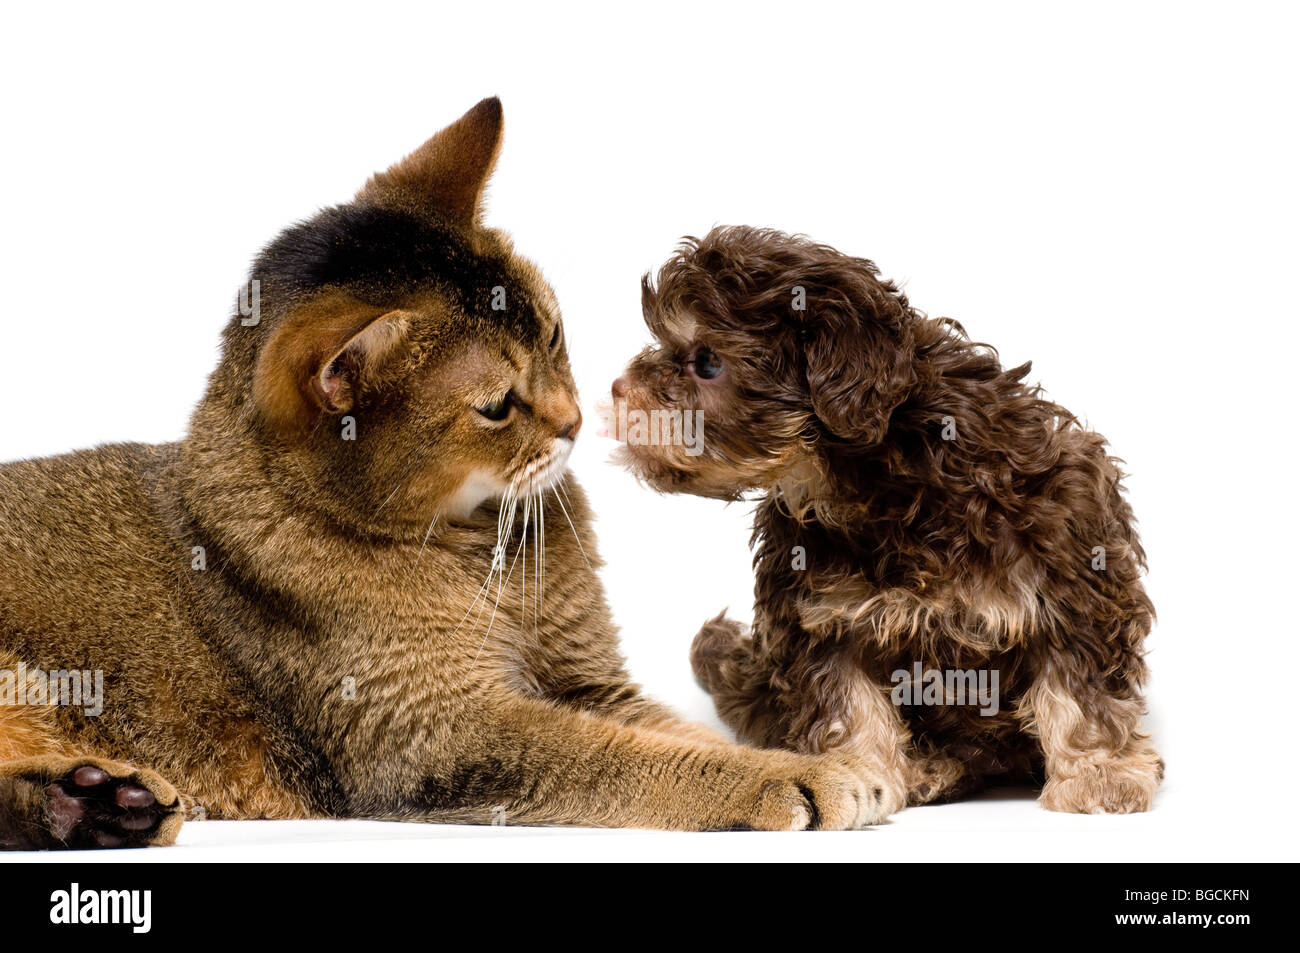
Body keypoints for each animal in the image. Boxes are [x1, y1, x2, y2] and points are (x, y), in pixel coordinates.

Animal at [0, 98, 889, 847]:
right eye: (496, 406)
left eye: (554, 333)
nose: (574, 420)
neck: (475, 543)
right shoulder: (443, 732)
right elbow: (628, 758)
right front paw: (795, 778)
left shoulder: (590, 683)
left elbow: (677, 729)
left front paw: (839, 760)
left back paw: (96, 804)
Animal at [613, 226, 1164, 816]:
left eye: (709, 363)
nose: (619, 390)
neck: (886, 478)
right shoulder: (820, 614)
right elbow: (846, 701)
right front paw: (857, 773)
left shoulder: (1071, 566)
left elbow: (1081, 688)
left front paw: (1100, 773)